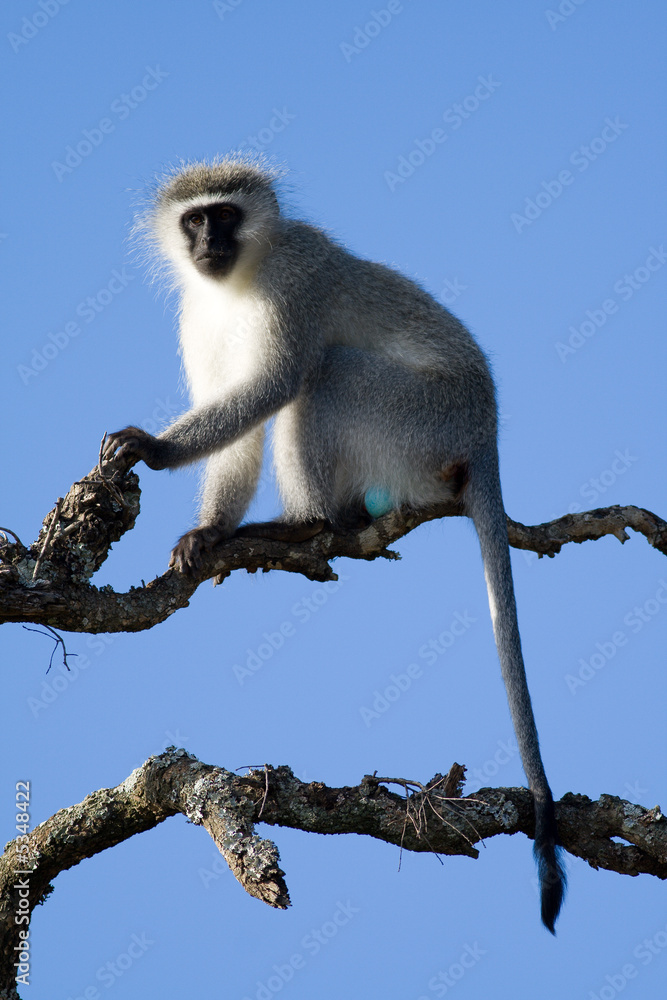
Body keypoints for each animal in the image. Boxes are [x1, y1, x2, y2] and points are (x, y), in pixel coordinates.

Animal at [103, 155, 566, 932]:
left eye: (225, 215)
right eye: (194, 220)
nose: (207, 244)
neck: (240, 277)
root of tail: (485, 429)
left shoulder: (298, 279)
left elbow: (274, 385)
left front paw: (157, 449)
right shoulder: (196, 313)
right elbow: (240, 427)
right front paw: (209, 531)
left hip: (423, 420)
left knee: (324, 374)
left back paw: (307, 524)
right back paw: (329, 522)